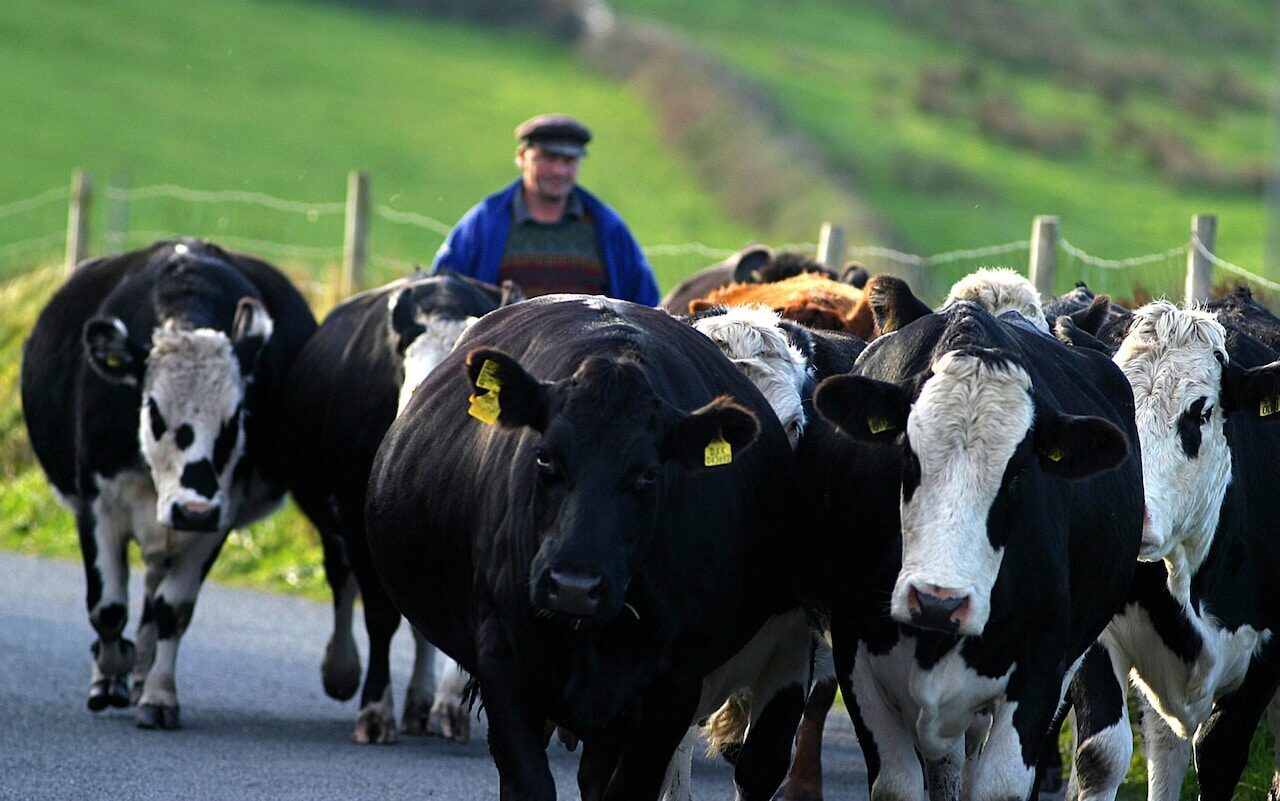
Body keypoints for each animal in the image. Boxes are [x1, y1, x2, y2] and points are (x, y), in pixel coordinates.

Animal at [21, 235, 314, 721]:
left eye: (236, 418)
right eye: (154, 410)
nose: (193, 509)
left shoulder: (219, 514)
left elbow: (172, 610)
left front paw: (158, 694)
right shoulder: (95, 504)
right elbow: (107, 608)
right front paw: (110, 669)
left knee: (154, 593)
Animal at [279, 269, 519, 742]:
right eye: (419, 387)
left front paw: (448, 705)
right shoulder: (355, 514)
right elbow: (379, 615)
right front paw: (375, 709)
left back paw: (423, 703)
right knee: (342, 581)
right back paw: (343, 671)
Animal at [363, 294, 798, 798]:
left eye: (648, 474)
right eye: (543, 457)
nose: (573, 586)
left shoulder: (673, 688)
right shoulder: (504, 664)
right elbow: (527, 782)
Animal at [798, 271, 1141, 793]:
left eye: (1019, 472)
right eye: (907, 454)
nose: (938, 602)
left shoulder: (1041, 666)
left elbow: (999, 782)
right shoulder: (856, 652)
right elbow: (899, 781)